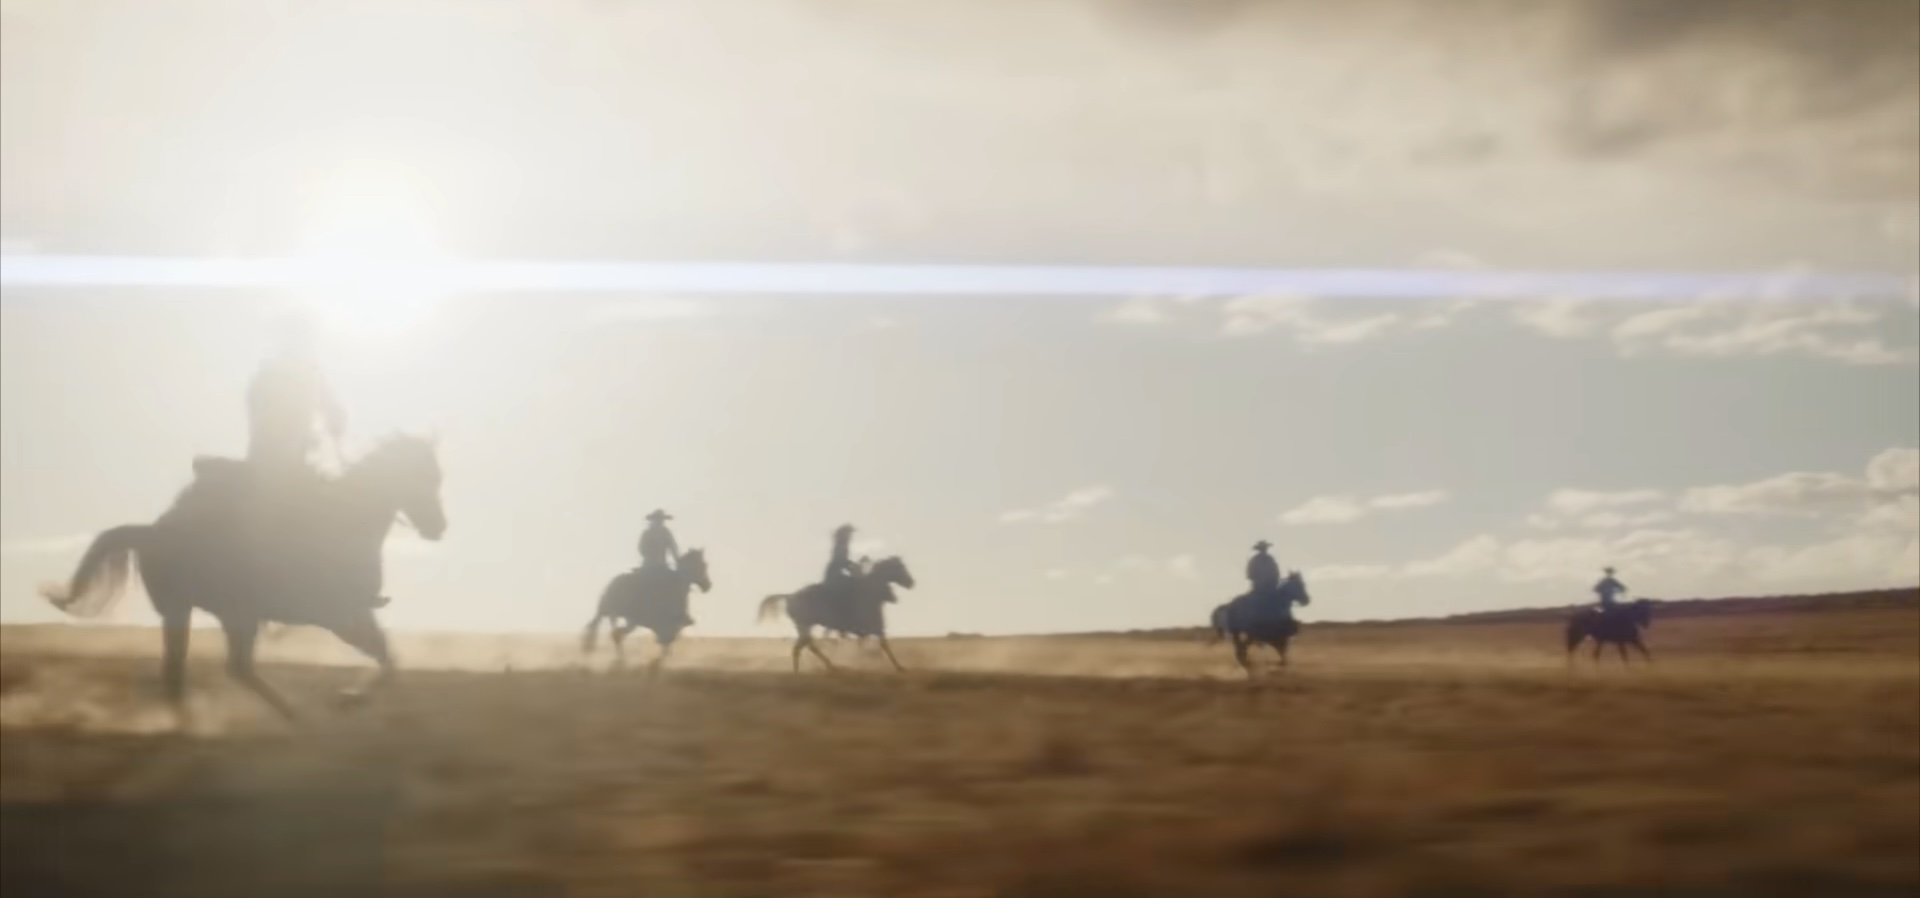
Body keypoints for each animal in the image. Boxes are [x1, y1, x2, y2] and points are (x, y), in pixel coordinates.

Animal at [41, 435, 445, 721]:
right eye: (423, 476)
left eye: (436, 475)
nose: (438, 527)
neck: (347, 518)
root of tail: (152, 532)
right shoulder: (340, 616)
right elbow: (384, 656)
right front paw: (350, 699)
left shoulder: (356, 612)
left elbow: (388, 656)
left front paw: (350, 698)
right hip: (216, 614)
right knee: (222, 668)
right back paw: (289, 714)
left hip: (202, 614)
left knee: (196, 671)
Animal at [579, 548, 718, 675]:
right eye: (703, 565)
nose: (708, 586)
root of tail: (611, 584)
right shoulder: (665, 623)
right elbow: (667, 640)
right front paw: (655, 663)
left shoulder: (668, 624)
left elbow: (668, 641)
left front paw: (657, 663)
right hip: (615, 612)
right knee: (615, 633)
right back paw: (619, 660)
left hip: (624, 617)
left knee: (615, 633)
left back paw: (618, 659)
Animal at [756, 552, 913, 675]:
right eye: (899, 567)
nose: (912, 583)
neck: (870, 593)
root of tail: (790, 596)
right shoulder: (873, 626)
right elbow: (883, 645)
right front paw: (899, 667)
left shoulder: (870, 628)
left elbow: (872, 645)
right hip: (804, 624)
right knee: (805, 646)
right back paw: (826, 667)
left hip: (804, 625)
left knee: (804, 646)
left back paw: (809, 669)